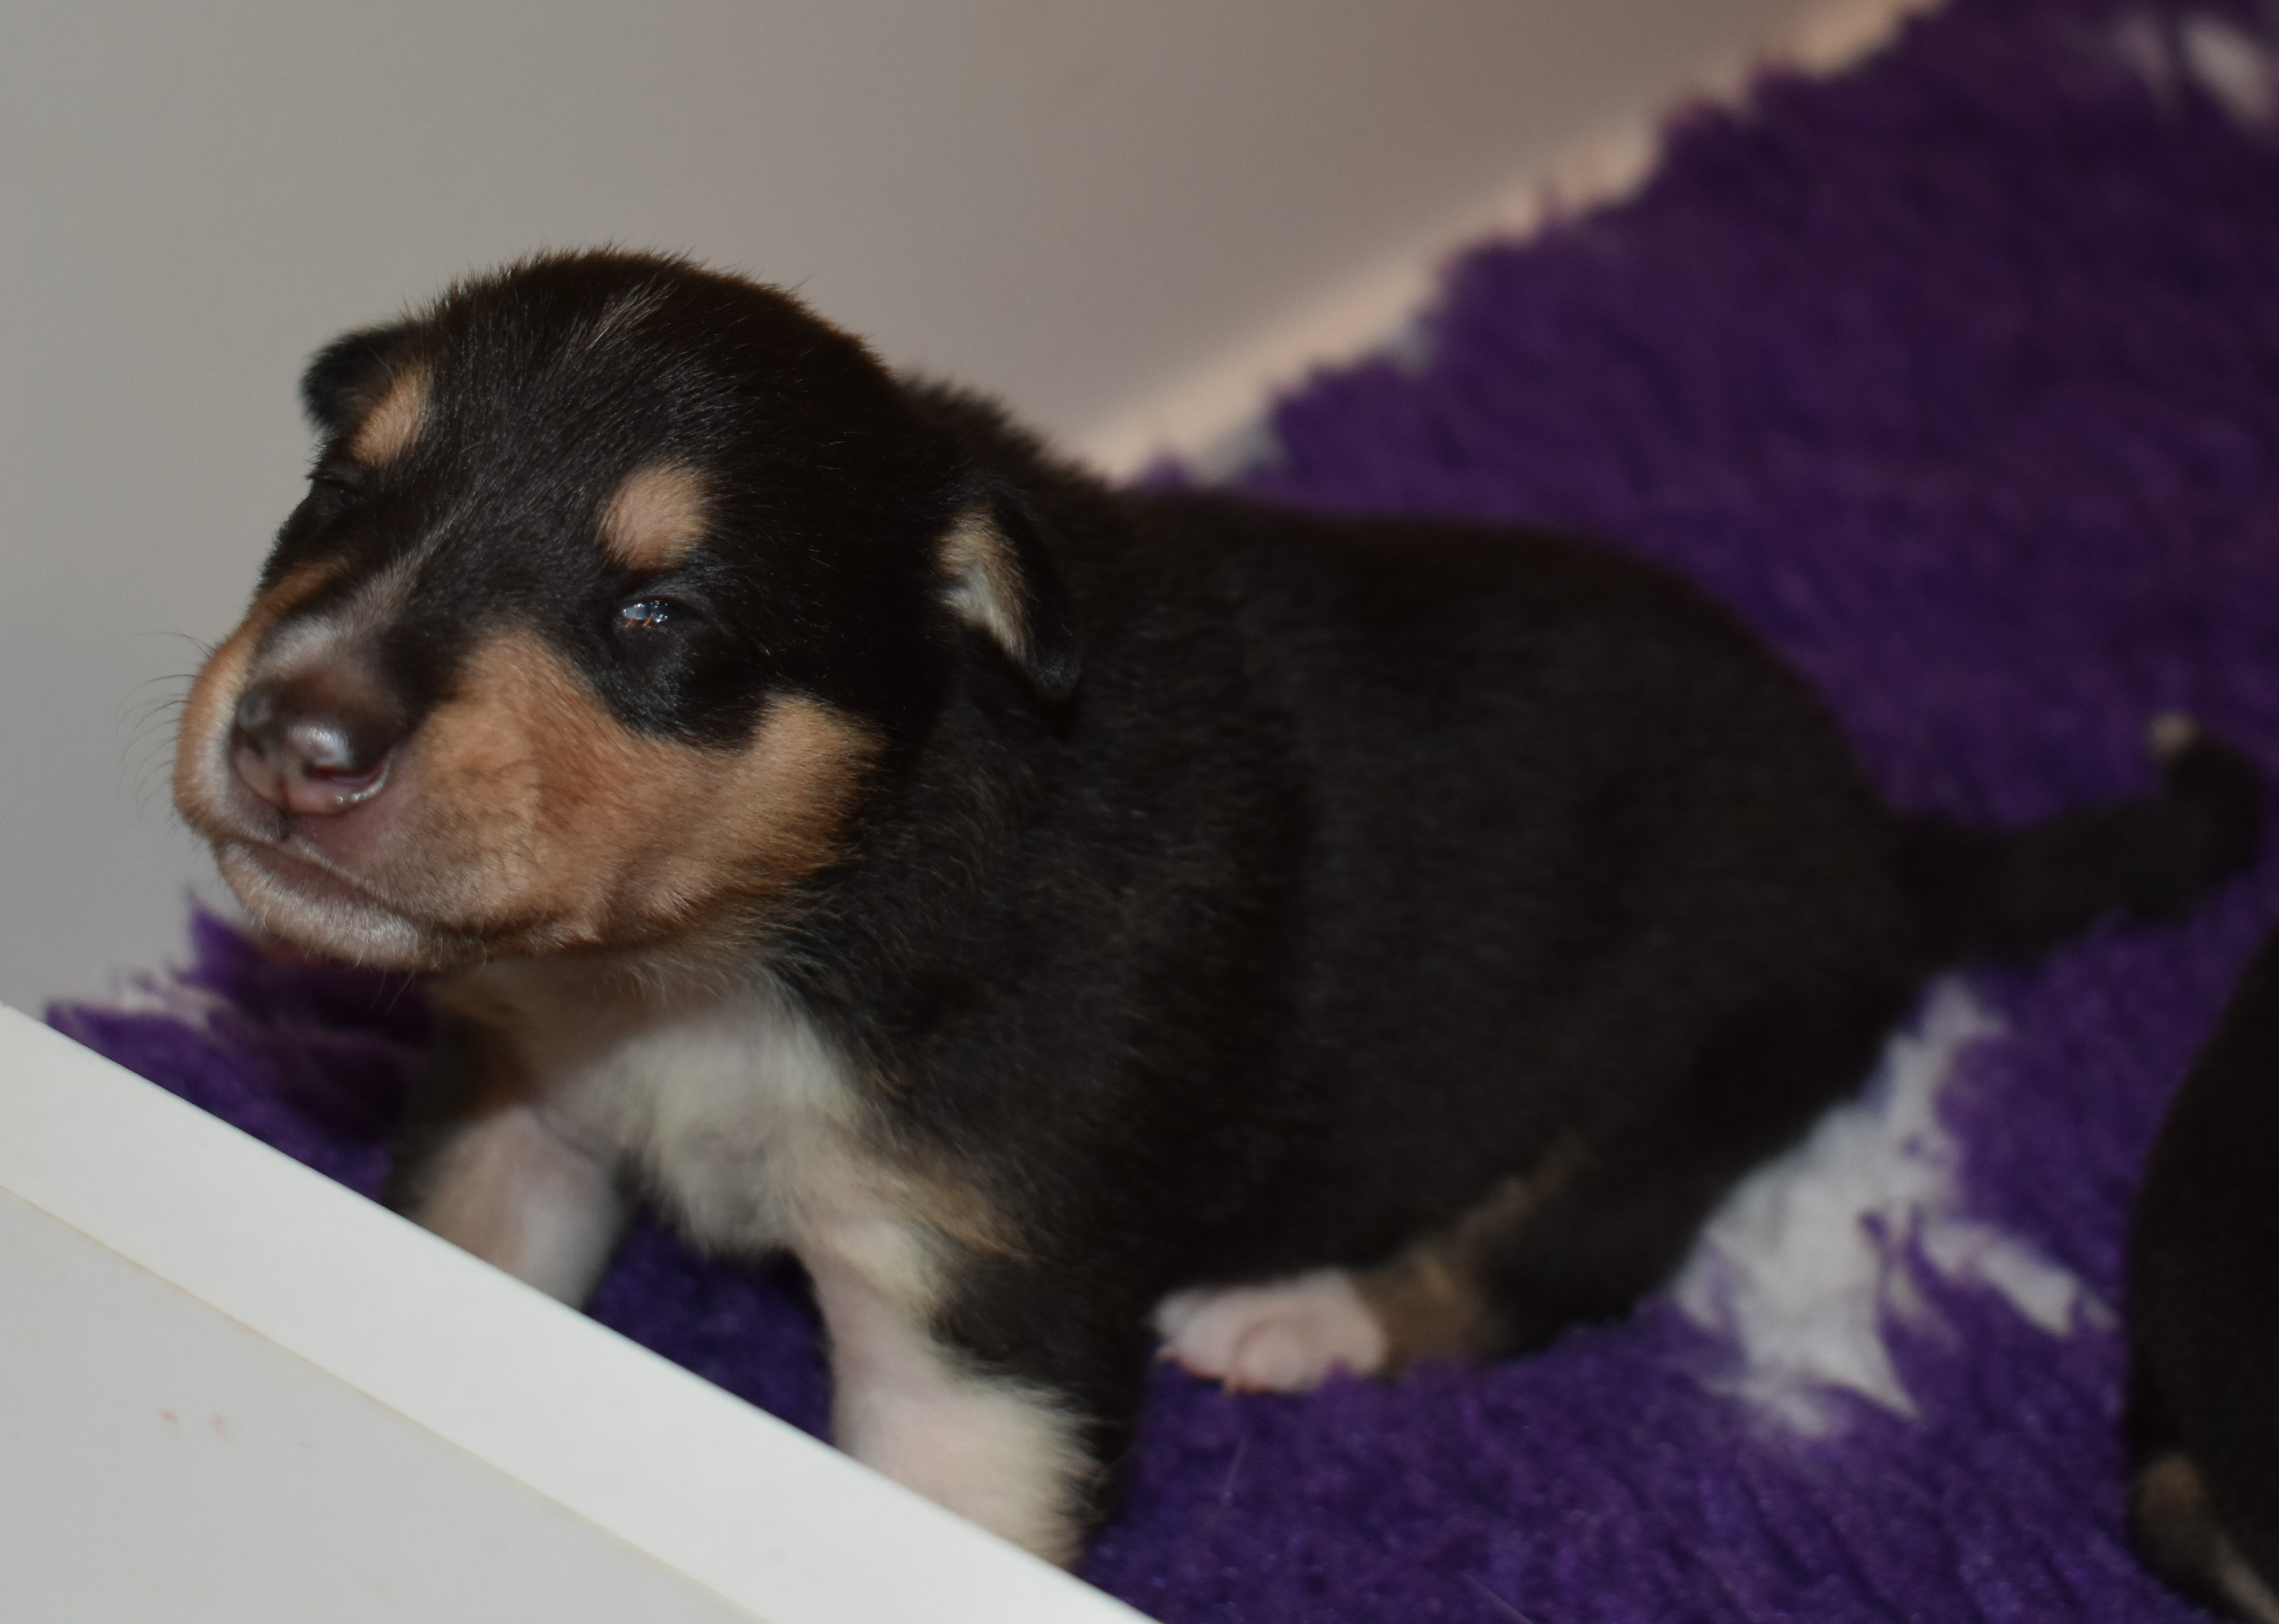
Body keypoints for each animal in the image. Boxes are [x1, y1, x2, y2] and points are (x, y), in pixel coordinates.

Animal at [174, 251, 2259, 1564]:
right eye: (338, 488)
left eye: (659, 615)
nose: (294, 735)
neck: (749, 941)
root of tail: (1883, 837)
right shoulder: (518, 1114)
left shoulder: (983, 1306)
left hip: (1692, 1070)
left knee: (1539, 1265)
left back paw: (1299, 1315)